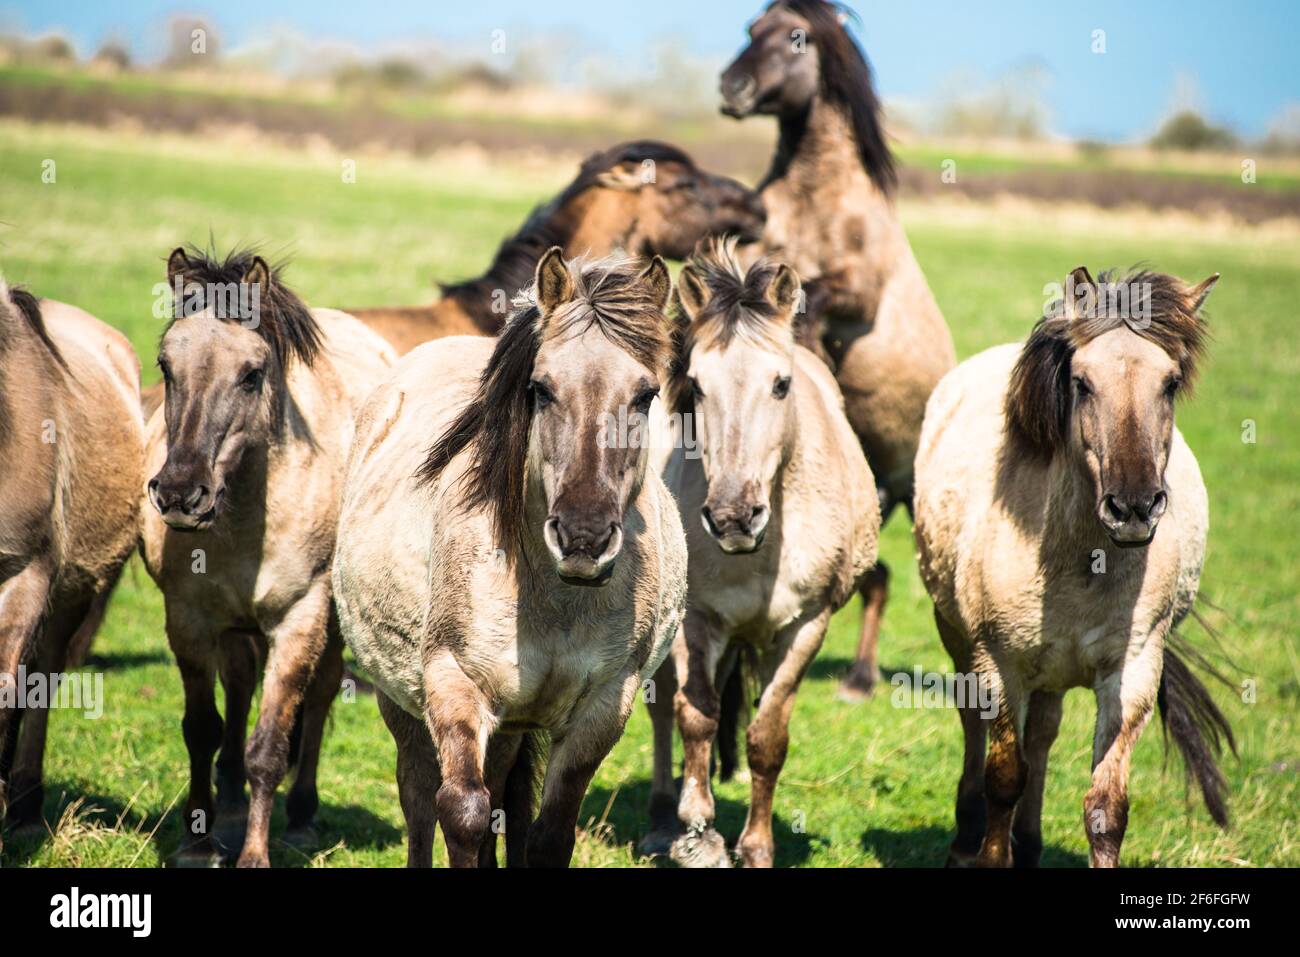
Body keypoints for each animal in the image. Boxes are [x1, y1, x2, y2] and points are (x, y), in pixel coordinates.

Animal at [330, 248, 686, 868]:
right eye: (541, 389)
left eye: (645, 396)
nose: (584, 537)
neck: (553, 597)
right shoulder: (453, 684)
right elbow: (464, 812)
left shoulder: (603, 708)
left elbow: (548, 831)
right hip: (402, 699)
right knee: (418, 795)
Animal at [637, 240, 873, 868]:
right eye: (696, 386)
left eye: (781, 384)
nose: (732, 516)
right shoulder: (696, 619)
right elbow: (695, 716)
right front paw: (698, 835)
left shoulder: (806, 625)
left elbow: (767, 739)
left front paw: (757, 846)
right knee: (663, 708)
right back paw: (658, 820)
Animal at [722, 1, 956, 702]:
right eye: (750, 31)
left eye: (796, 38)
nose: (731, 87)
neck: (814, 198)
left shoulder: (857, 293)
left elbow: (814, 294)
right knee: (875, 579)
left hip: (898, 492)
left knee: (879, 583)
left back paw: (860, 677)